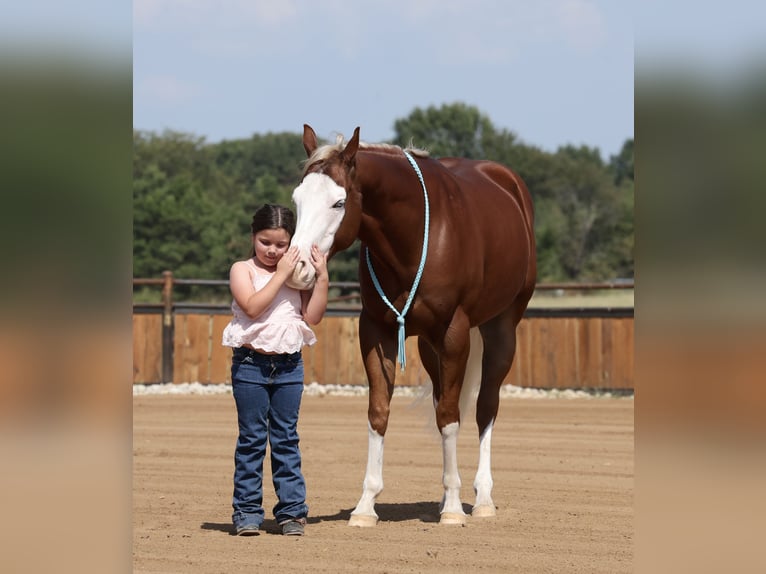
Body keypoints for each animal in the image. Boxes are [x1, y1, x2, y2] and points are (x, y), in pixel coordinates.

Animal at [287, 124, 536, 526]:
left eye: (338, 203)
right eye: (297, 199)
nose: (297, 268)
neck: (414, 234)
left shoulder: (454, 332)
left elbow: (451, 416)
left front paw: (453, 510)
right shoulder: (376, 331)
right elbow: (380, 412)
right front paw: (365, 505)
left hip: (501, 329)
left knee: (485, 407)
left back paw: (481, 499)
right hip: (430, 347)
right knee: (444, 402)